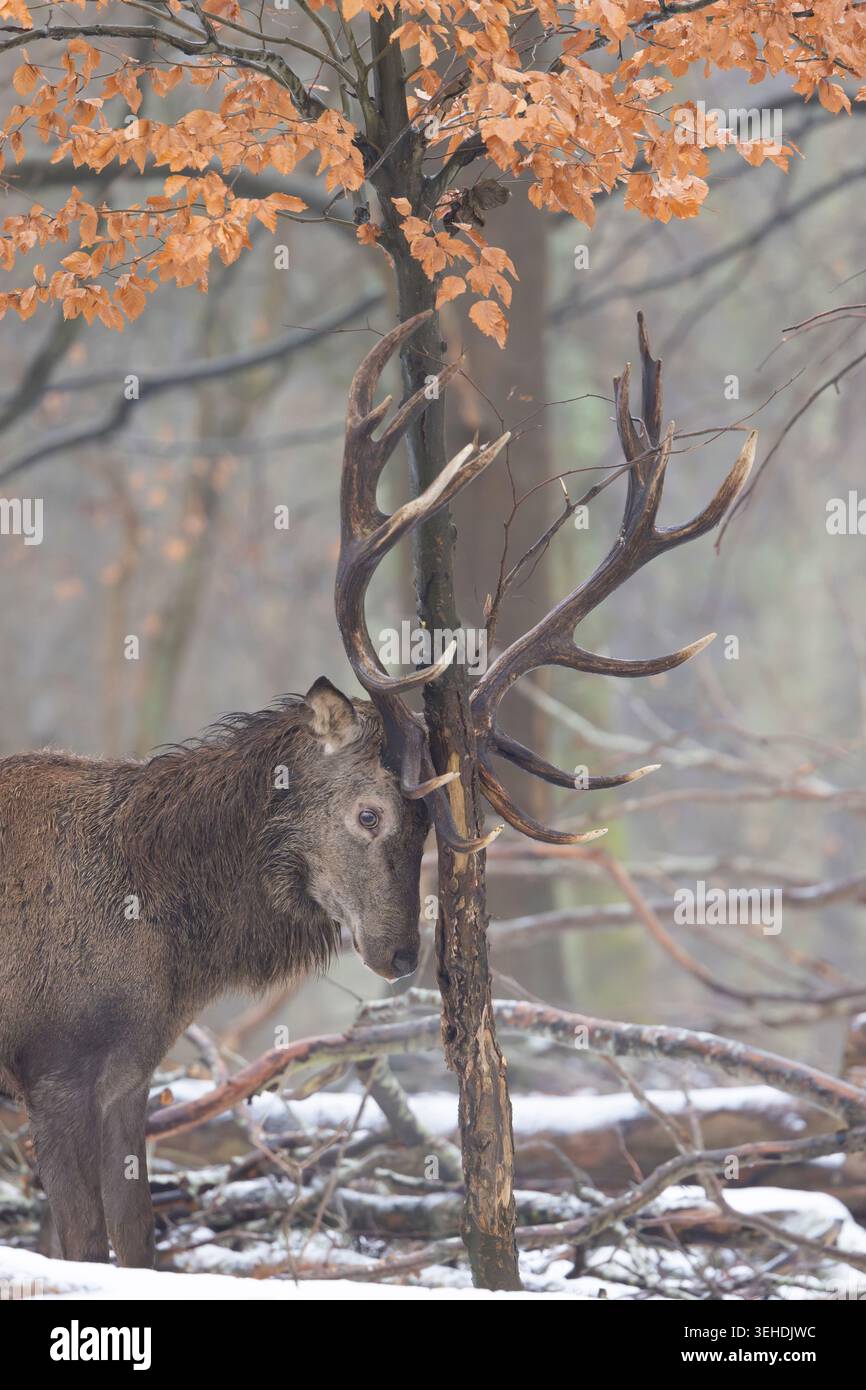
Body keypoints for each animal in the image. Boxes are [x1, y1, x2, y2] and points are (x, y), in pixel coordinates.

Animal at [0, 312, 754, 1269]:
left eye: (434, 824)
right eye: (370, 812)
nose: (400, 955)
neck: (156, 925)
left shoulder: (132, 1070)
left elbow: (133, 1246)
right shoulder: (51, 1060)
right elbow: (78, 1246)